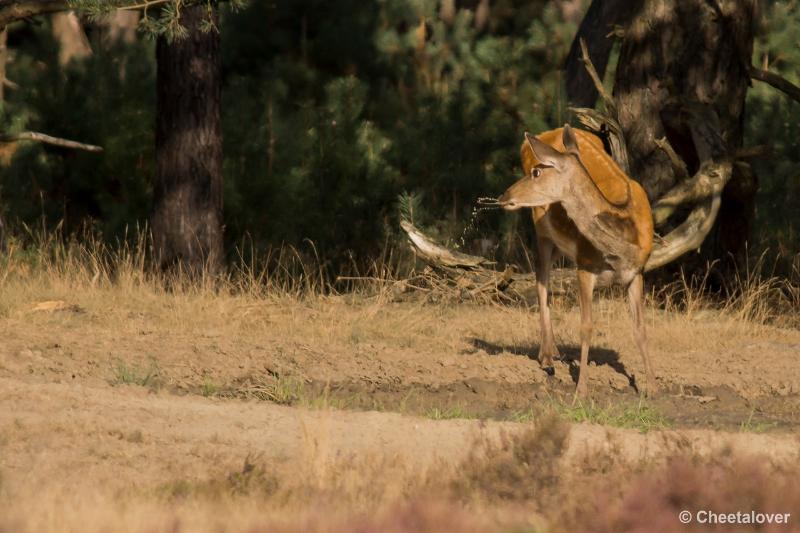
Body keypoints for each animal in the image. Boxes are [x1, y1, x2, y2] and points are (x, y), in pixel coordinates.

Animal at [494, 124, 656, 396]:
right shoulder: (584, 265)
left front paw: (651, 386)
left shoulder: (637, 272)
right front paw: (581, 389)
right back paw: (548, 358)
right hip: (541, 229)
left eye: (538, 172)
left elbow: (641, 328)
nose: (503, 196)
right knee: (541, 283)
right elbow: (586, 327)